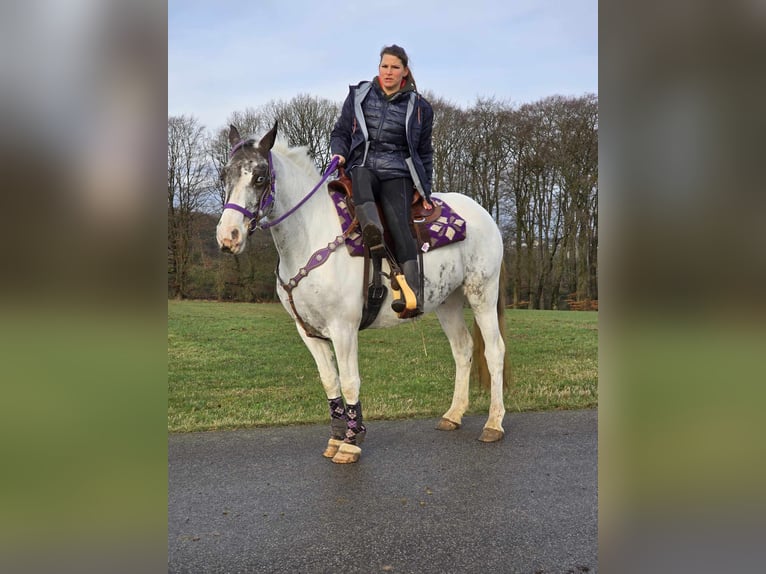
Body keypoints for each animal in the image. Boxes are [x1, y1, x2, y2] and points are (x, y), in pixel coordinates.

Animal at [216, 124, 510, 466]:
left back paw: (494, 423)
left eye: (260, 177)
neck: (311, 235)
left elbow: (349, 381)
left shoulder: (343, 329)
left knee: (494, 351)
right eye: (225, 175)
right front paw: (336, 438)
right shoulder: (308, 332)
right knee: (463, 350)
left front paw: (352, 441)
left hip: (482, 294)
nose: (228, 237)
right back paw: (453, 415)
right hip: (447, 303)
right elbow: (330, 380)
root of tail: (483, 214)